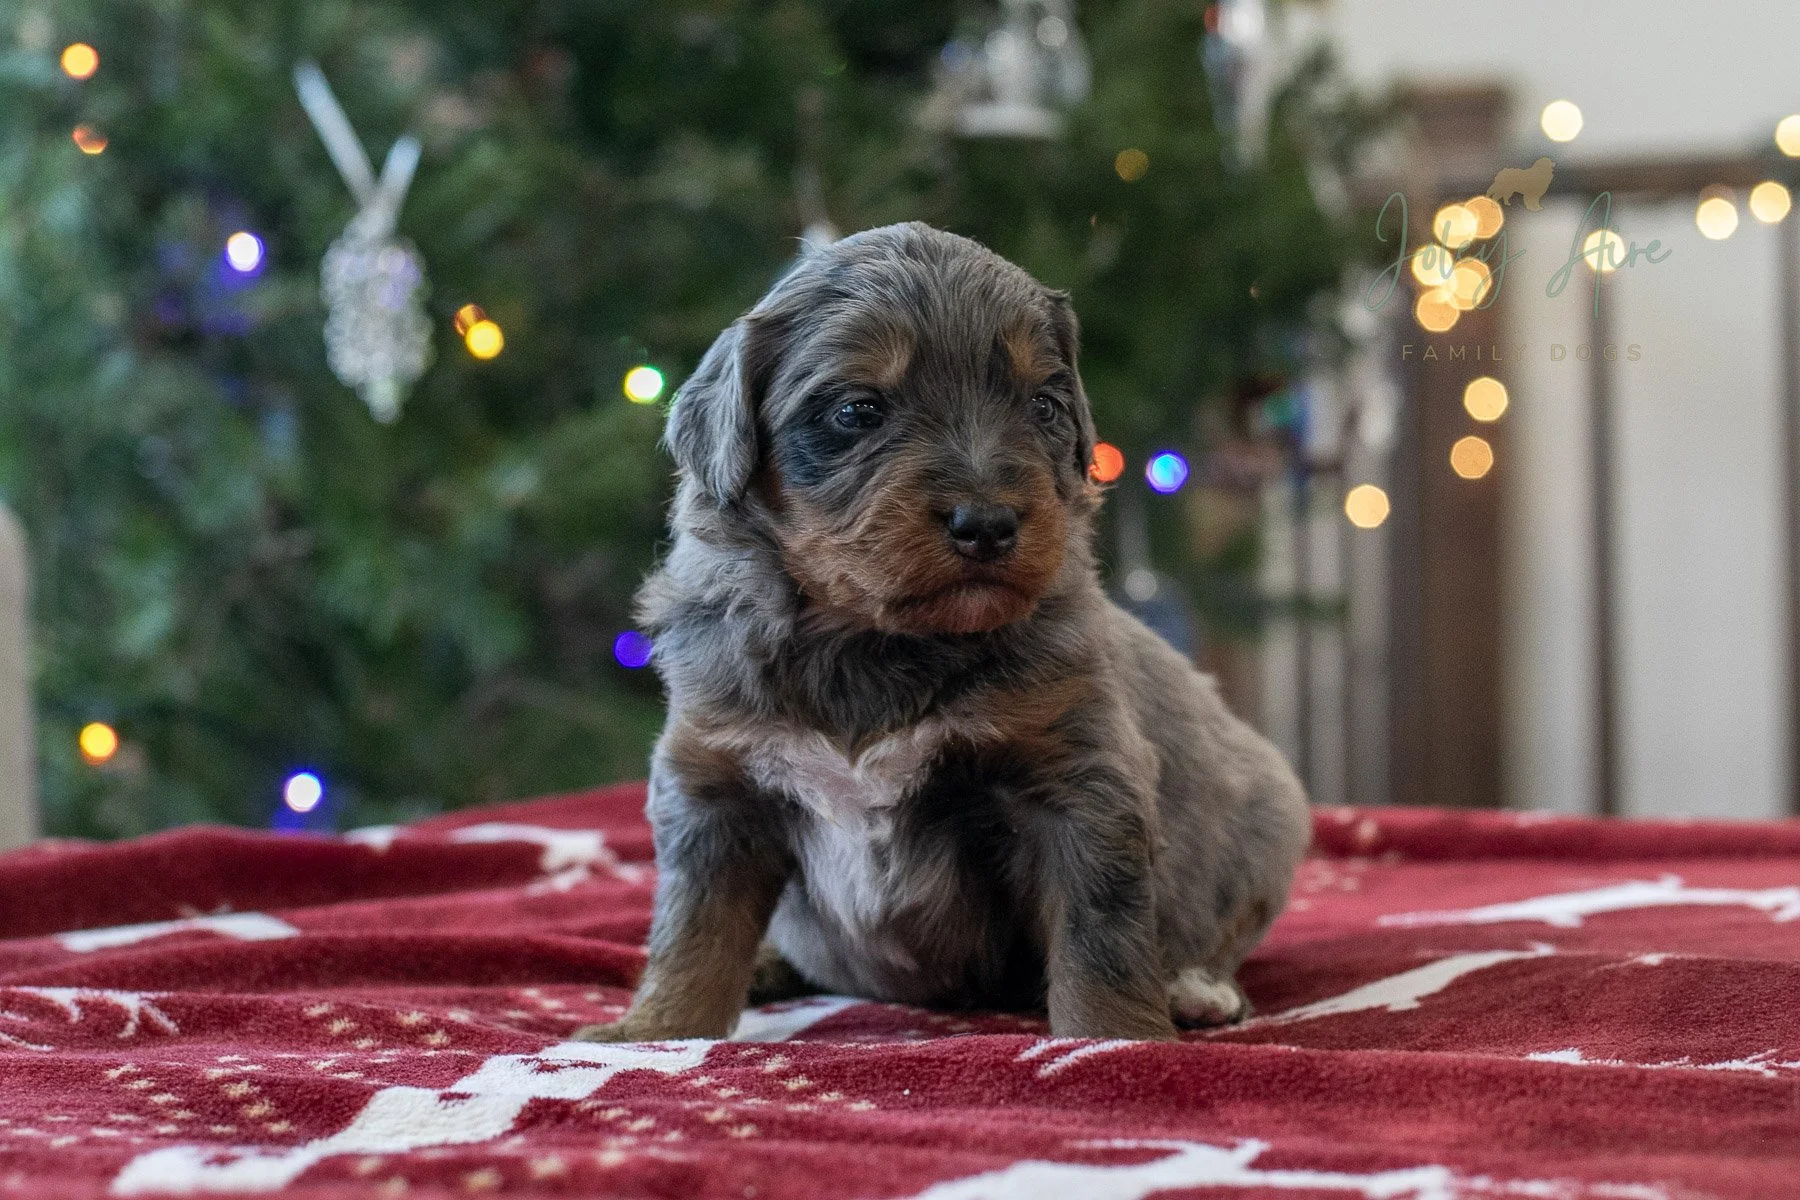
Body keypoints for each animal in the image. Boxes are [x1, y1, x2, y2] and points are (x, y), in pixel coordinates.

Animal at [574, 223, 1309, 1044]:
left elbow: (1100, 934)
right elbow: (695, 928)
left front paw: (1116, 1039)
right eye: (858, 410)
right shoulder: (715, 783)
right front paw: (656, 1031)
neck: (871, 641)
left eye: (1044, 405)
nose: (987, 523)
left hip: (1266, 810)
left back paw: (1196, 989)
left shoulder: (1078, 777)